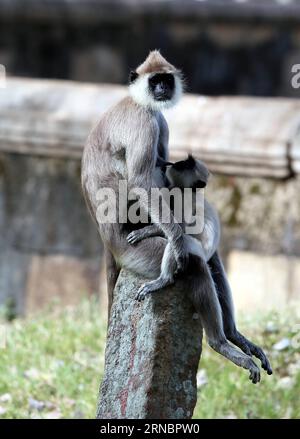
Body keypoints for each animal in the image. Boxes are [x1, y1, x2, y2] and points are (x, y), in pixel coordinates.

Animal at [81, 50, 272, 382]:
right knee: (192, 259)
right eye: (154, 80)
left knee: (210, 259)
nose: (161, 90)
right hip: (136, 254)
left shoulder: (159, 120)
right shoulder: (145, 121)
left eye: (166, 80)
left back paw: (233, 336)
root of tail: (107, 242)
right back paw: (220, 342)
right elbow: (142, 180)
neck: (137, 101)